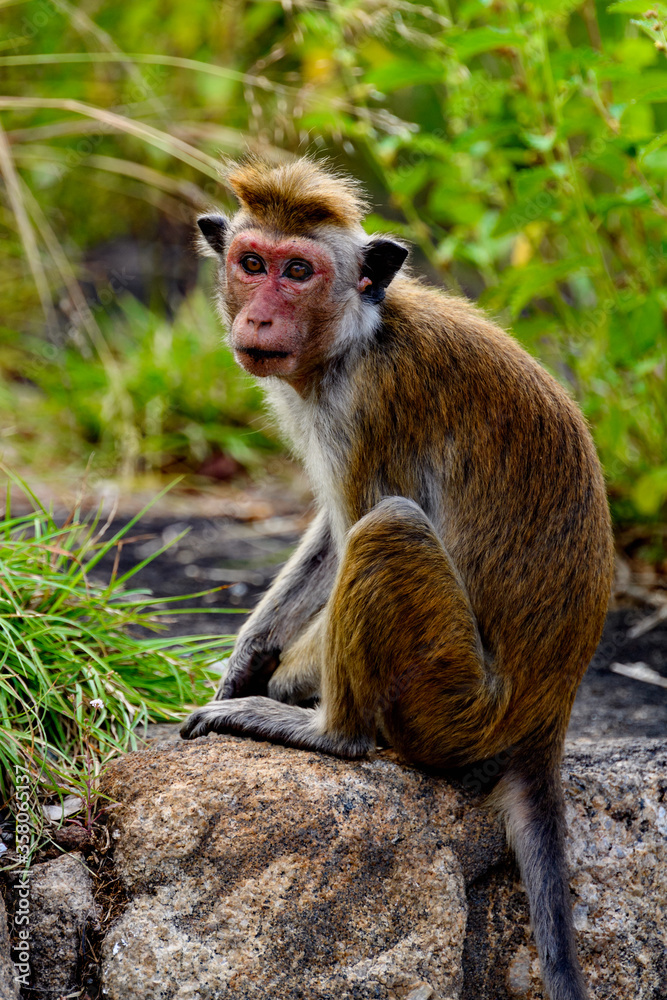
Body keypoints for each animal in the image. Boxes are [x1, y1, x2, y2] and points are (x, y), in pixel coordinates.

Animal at [181, 157, 614, 1000]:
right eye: (251, 263)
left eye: (298, 271)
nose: (259, 321)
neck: (360, 336)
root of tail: (544, 719)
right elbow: (326, 537)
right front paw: (246, 661)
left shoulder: (370, 405)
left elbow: (354, 527)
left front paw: (279, 687)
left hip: (449, 701)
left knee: (387, 529)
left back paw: (331, 731)